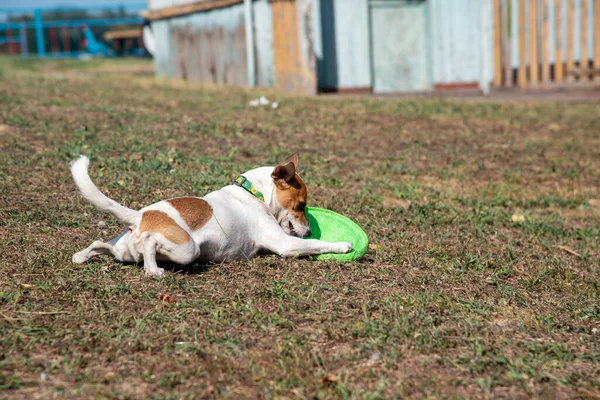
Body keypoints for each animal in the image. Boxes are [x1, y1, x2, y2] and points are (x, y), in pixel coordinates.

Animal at [70, 153, 352, 276]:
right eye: (301, 205)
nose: (309, 229)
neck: (254, 193)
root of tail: (139, 216)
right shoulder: (286, 244)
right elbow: (316, 244)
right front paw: (343, 245)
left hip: (124, 251)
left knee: (100, 243)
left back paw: (81, 256)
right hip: (186, 247)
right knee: (151, 244)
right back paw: (154, 270)